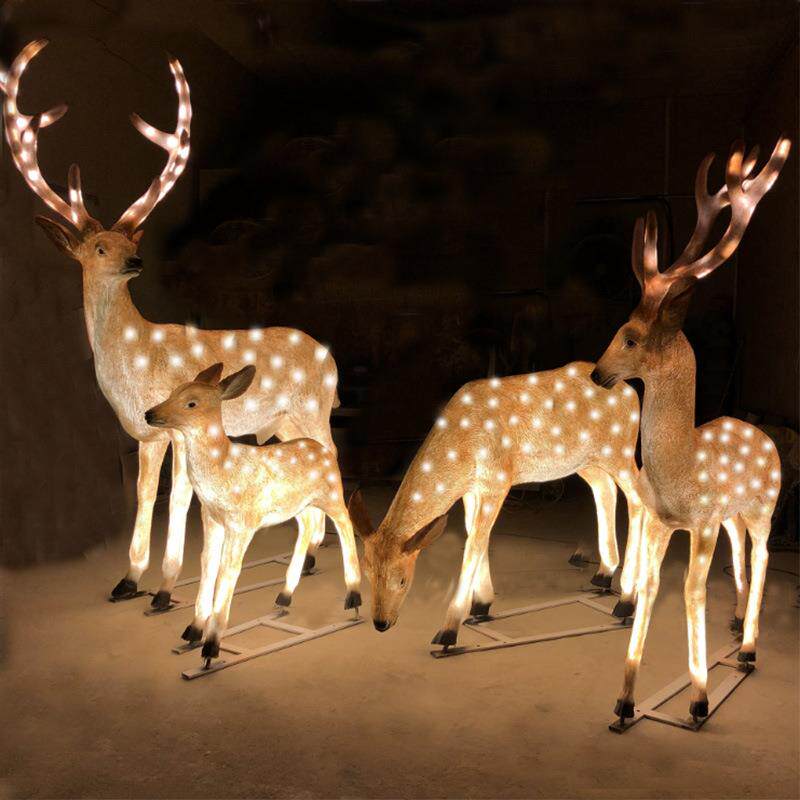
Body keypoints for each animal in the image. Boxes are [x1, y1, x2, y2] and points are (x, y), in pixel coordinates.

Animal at [1, 40, 348, 612]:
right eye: (100, 247)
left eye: (131, 242)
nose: (136, 262)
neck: (132, 357)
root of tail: (332, 358)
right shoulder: (142, 433)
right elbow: (146, 497)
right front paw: (127, 581)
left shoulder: (177, 428)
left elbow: (182, 503)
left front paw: (165, 590)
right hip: (280, 423)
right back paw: (308, 562)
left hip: (313, 410)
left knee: (333, 457)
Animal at [144, 363, 361, 661]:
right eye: (172, 392)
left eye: (191, 403)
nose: (149, 414)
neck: (223, 466)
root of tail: (323, 449)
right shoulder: (211, 518)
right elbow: (207, 563)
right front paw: (193, 632)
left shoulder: (242, 522)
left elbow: (228, 570)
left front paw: (211, 648)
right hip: (298, 505)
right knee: (306, 527)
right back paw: (284, 596)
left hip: (331, 494)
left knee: (345, 524)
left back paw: (354, 599)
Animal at [348, 362, 648, 645]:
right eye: (368, 572)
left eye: (402, 579)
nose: (381, 623)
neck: (463, 447)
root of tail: (633, 395)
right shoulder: (473, 489)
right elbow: (475, 536)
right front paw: (481, 605)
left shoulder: (498, 481)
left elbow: (474, 543)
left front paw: (448, 631)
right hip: (586, 461)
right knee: (605, 488)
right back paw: (604, 574)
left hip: (620, 452)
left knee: (640, 499)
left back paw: (626, 601)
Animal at [590, 135, 791, 723]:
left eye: (631, 337)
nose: (597, 373)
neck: (682, 464)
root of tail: (763, 434)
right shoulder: (665, 522)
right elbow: (652, 589)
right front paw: (624, 701)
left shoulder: (698, 523)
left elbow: (690, 593)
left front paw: (699, 700)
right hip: (733, 516)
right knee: (741, 556)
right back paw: (738, 625)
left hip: (765, 506)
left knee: (763, 555)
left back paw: (748, 649)